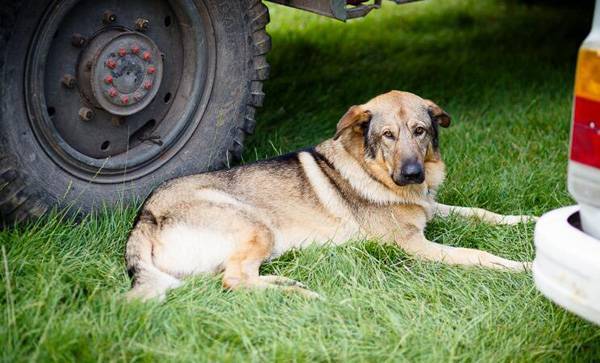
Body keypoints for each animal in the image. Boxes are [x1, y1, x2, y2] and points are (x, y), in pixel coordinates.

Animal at [125, 91, 536, 302]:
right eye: (388, 135)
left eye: (420, 130)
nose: (412, 174)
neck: (374, 170)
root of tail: (145, 215)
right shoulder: (414, 245)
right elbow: (477, 255)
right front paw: (524, 266)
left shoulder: (432, 209)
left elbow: (482, 213)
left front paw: (528, 220)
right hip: (256, 226)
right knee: (234, 280)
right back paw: (296, 292)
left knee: (230, 277)